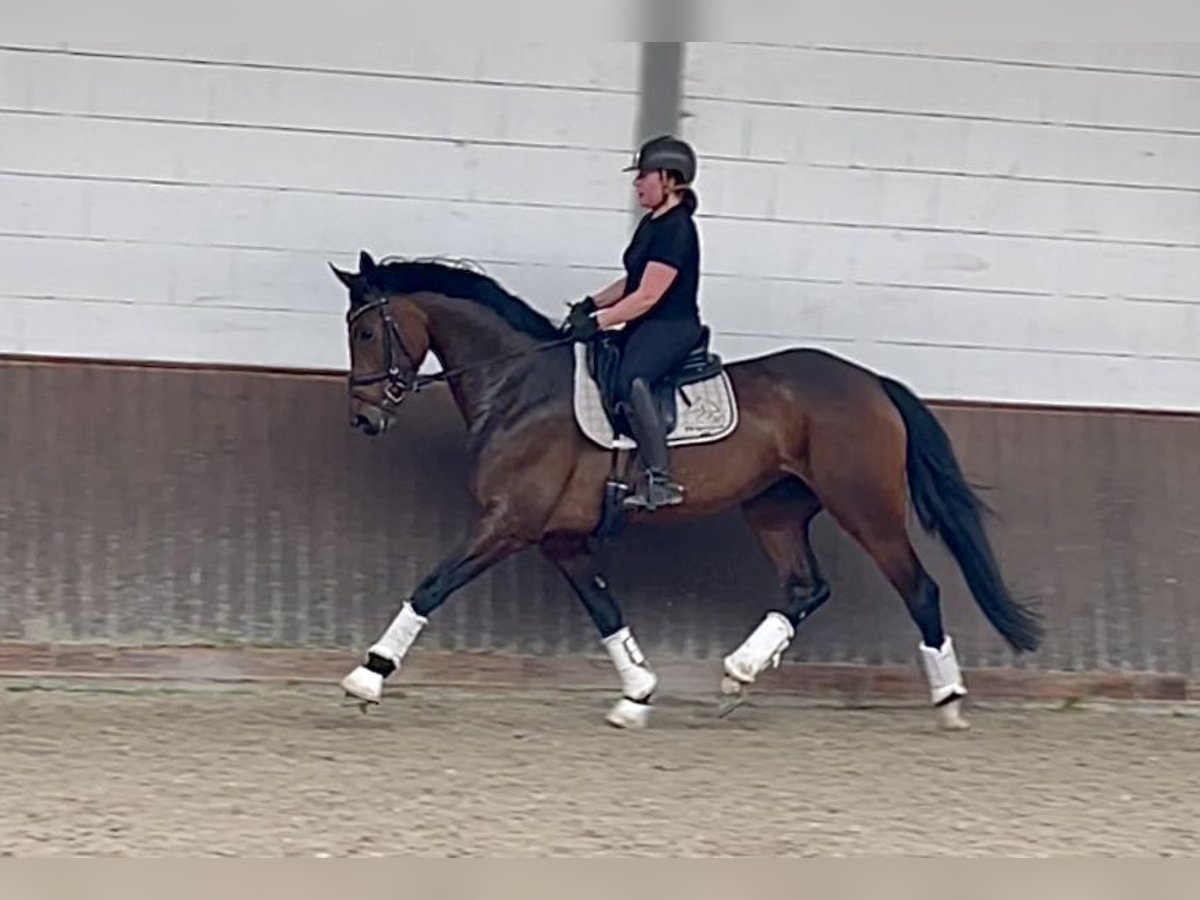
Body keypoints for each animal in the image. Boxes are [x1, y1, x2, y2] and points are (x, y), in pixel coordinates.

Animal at [331, 252, 1041, 734]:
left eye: (365, 332)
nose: (364, 418)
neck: (520, 387)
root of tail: (871, 383)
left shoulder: (510, 522)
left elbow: (432, 585)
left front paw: (368, 676)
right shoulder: (560, 538)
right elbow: (606, 611)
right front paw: (637, 692)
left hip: (865, 506)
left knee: (919, 587)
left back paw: (948, 702)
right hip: (774, 508)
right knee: (805, 588)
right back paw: (739, 673)